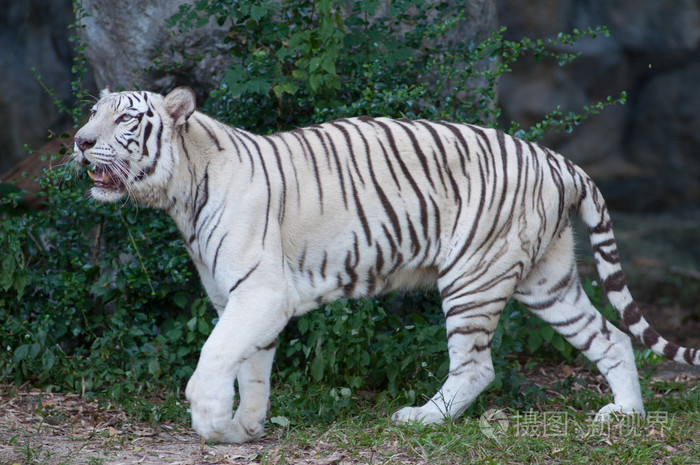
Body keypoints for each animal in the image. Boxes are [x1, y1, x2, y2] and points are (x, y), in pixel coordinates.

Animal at [72, 87, 700, 443]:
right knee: (612, 337)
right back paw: (624, 414)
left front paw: (208, 419)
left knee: (478, 367)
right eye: (93, 112)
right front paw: (242, 428)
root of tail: (557, 159)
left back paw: (421, 419)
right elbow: (250, 367)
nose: (78, 141)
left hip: (473, 274)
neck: (182, 191)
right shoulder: (241, 299)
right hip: (548, 281)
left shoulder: (261, 292)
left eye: (124, 120)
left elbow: (214, 356)